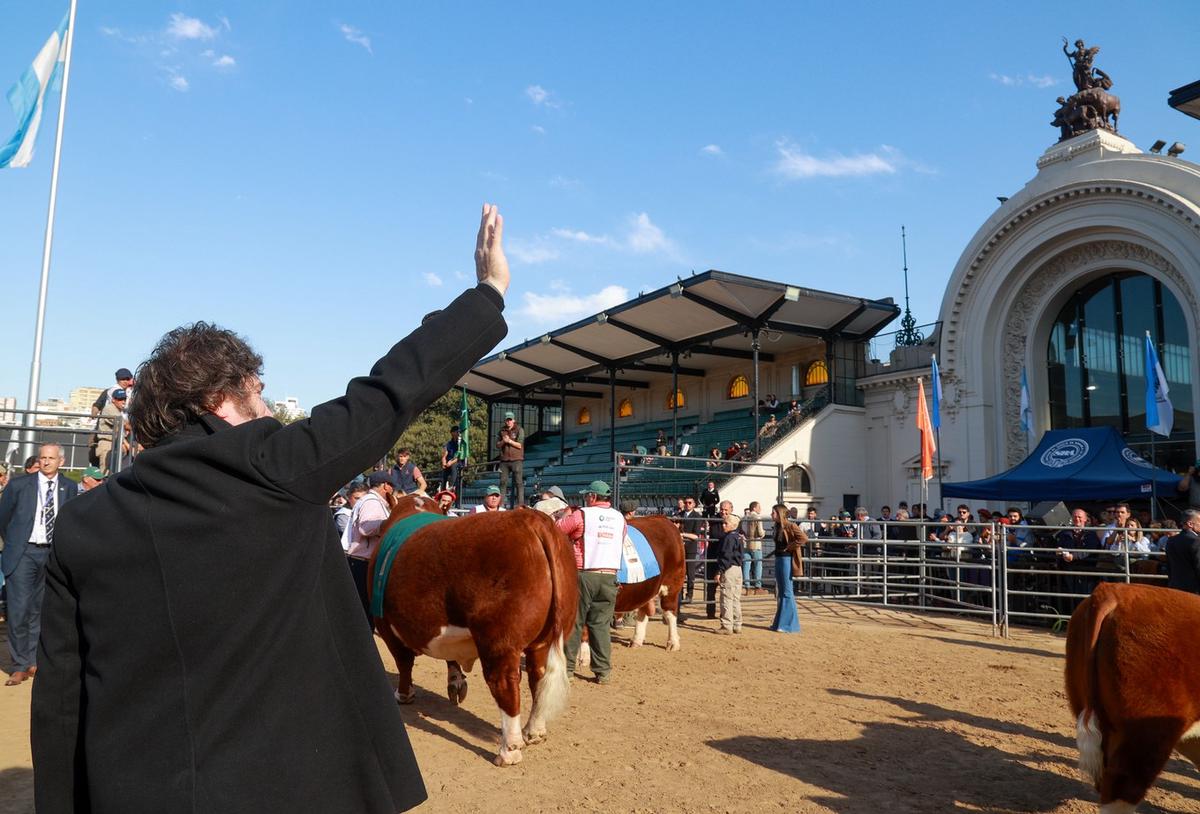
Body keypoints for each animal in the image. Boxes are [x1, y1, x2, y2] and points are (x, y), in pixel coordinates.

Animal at [374, 494, 580, 768]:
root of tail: (530, 519)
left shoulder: (386, 624)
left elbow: (403, 662)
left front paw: (404, 694)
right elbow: (449, 658)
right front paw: (455, 682)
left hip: (498, 639)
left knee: (505, 683)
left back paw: (509, 750)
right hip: (543, 639)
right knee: (539, 677)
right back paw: (534, 731)